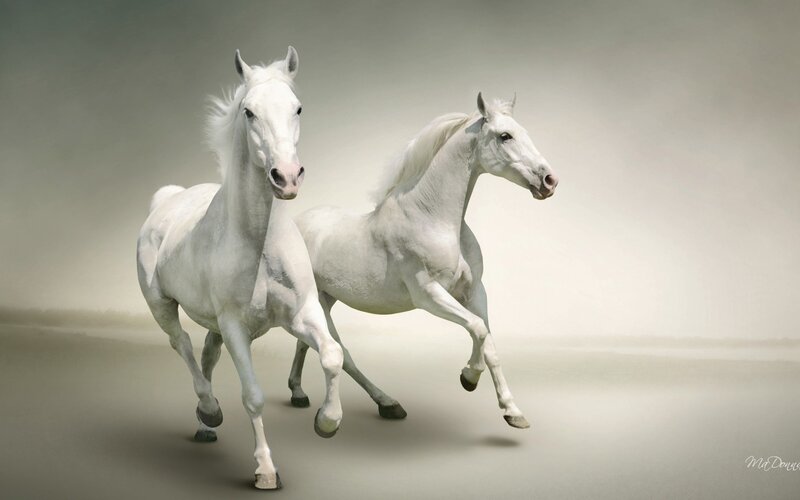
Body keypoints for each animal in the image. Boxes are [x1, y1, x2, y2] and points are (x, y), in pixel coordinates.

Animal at [136, 47, 344, 490]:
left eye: (298, 107)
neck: (260, 243)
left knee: (206, 354)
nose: (287, 177)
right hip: (161, 305)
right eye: (249, 112)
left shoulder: (301, 313)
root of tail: (167, 199)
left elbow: (333, 354)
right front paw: (265, 470)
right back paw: (209, 410)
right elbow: (253, 396)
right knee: (181, 344)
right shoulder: (235, 327)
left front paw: (327, 421)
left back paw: (205, 424)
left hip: (213, 324)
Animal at [287, 93, 558, 429]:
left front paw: (513, 412)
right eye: (505, 135)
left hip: (326, 298)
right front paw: (468, 377)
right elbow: (478, 329)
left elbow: (490, 343)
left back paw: (299, 393)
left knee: (306, 343)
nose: (549, 180)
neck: (432, 218)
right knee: (340, 352)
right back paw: (383, 404)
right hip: (319, 303)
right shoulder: (428, 295)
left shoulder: (474, 292)